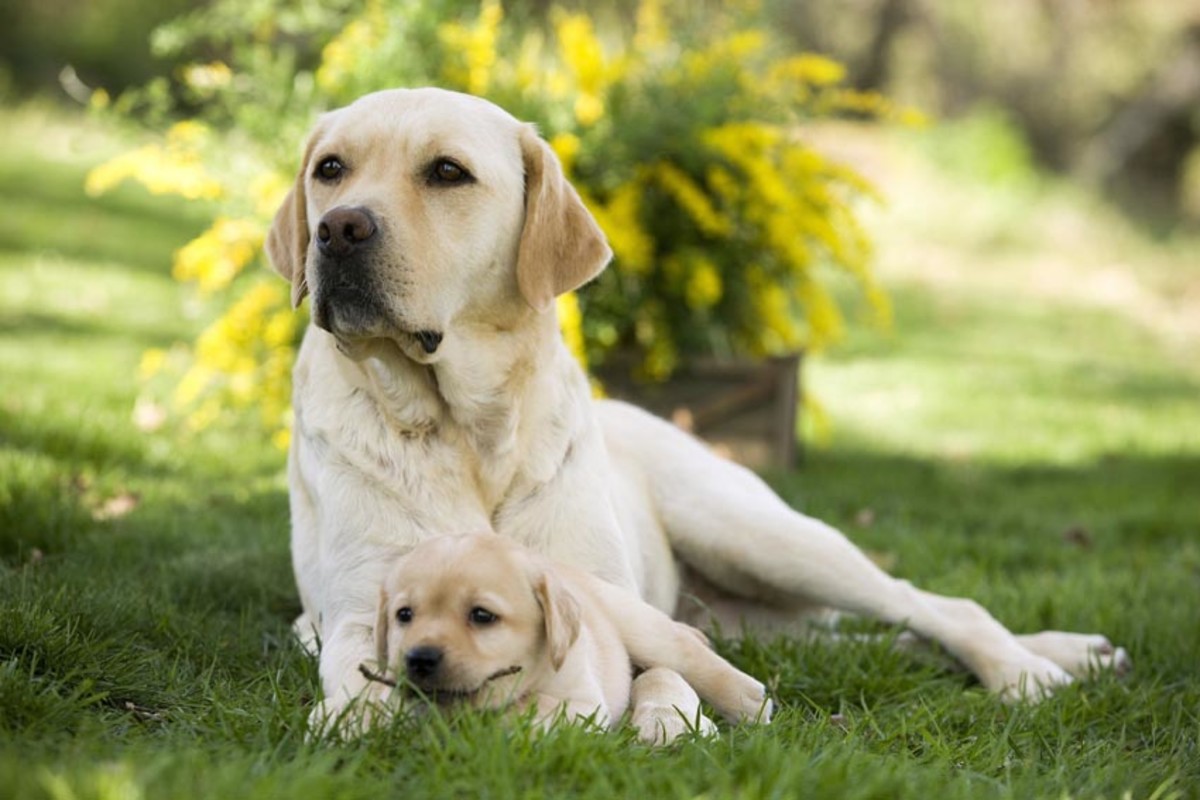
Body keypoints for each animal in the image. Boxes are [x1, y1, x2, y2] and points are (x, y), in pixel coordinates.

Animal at [369, 532, 772, 743]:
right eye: (404, 615)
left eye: (482, 616)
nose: (419, 659)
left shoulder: (582, 703)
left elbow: (525, 709)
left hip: (641, 626)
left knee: (688, 654)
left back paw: (751, 701)